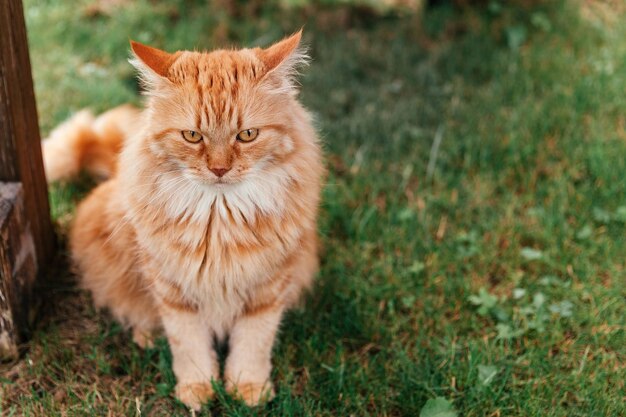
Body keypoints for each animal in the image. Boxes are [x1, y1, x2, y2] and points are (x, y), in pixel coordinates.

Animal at [41, 30, 322, 408]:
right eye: (192, 136)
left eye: (247, 135)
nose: (219, 169)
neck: (219, 219)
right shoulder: (171, 289)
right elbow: (188, 344)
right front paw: (197, 389)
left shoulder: (269, 287)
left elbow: (253, 342)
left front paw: (248, 389)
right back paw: (146, 335)